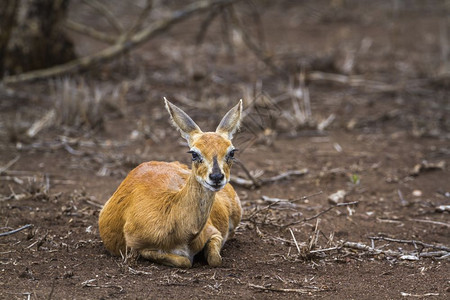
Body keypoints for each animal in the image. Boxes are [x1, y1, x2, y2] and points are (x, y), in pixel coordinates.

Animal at [98, 98, 243, 268]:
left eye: (231, 152)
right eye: (194, 153)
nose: (216, 177)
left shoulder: (214, 233)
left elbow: (215, 259)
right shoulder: (138, 249)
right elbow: (185, 261)